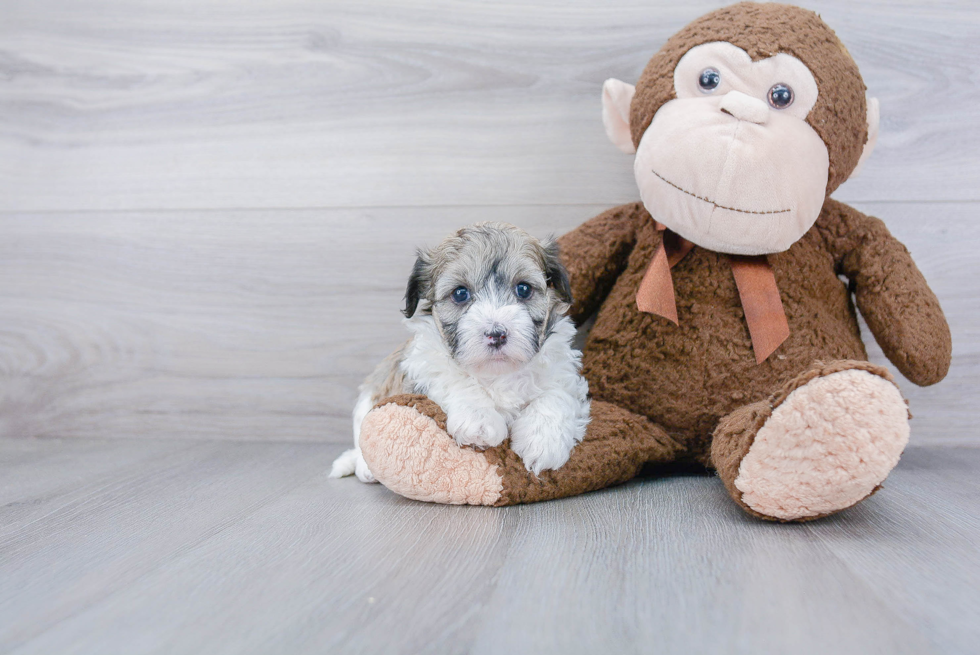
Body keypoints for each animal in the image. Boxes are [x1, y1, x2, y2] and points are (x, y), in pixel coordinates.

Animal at [330, 220, 588, 482]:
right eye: (460, 293)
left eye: (524, 289)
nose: (496, 334)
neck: (496, 373)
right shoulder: (424, 363)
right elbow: (454, 379)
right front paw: (479, 420)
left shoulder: (562, 371)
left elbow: (556, 394)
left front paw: (544, 442)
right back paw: (363, 467)